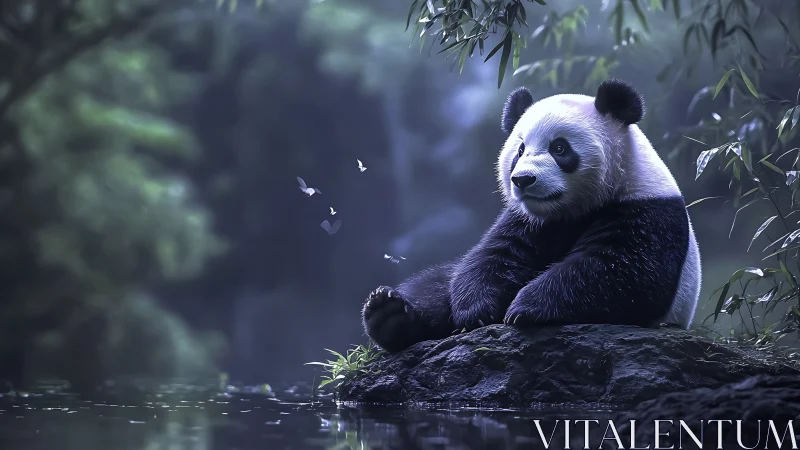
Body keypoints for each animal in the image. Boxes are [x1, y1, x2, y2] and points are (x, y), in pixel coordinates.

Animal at [362, 79, 702, 353]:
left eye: (560, 148)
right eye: (520, 150)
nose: (523, 180)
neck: (572, 209)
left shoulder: (648, 209)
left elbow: (620, 271)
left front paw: (525, 306)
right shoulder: (527, 219)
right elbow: (494, 256)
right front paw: (479, 311)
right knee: (437, 284)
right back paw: (388, 313)